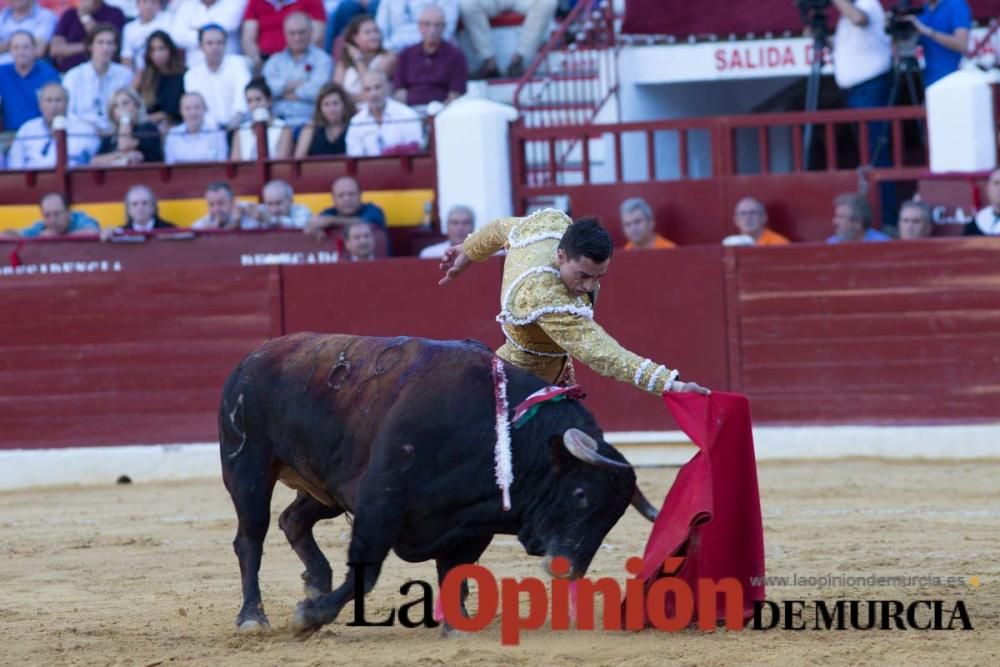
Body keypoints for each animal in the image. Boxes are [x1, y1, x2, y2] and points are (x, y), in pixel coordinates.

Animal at [222, 334, 660, 636]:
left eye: (612, 519)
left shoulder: (469, 525)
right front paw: (308, 618)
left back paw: (315, 581)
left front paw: (457, 625)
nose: (567, 569)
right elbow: (367, 570)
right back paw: (252, 617)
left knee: (293, 520)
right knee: (251, 538)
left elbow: (454, 571)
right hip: (247, 468)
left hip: (325, 486)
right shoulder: (379, 505)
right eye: (582, 494)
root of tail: (251, 358)